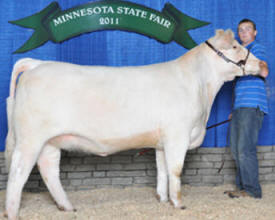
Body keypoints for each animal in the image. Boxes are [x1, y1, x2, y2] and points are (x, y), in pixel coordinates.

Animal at [2, 29, 266, 220]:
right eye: (235, 46)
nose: (263, 65)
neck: (202, 89)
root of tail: (37, 64)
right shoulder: (177, 135)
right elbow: (175, 170)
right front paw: (179, 204)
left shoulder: (161, 141)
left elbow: (162, 170)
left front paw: (162, 199)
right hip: (30, 138)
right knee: (18, 172)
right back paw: (14, 213)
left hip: (50, 142)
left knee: (48, 170)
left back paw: (67, 207)